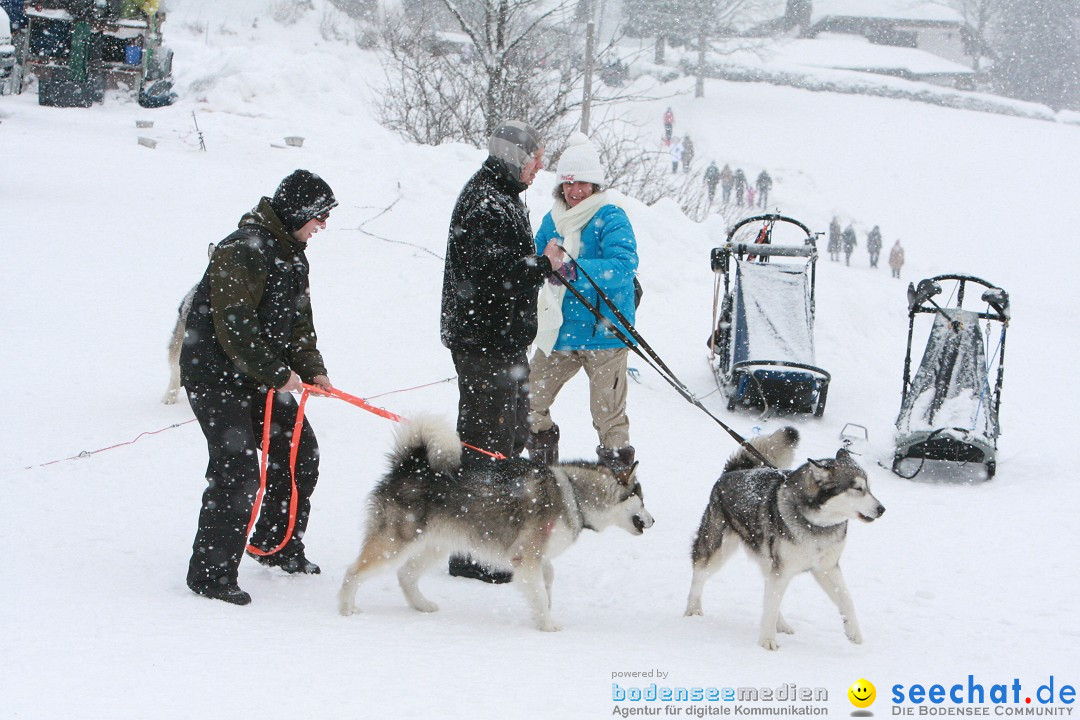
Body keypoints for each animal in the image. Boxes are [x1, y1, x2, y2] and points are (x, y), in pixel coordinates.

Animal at [336, 416, 656, 630]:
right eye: (642, 498)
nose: (654, 520)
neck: (574, 494)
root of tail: (409, 465)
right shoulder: (527, 557)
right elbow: (539, 591)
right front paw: (547, 624)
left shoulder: (535, 555)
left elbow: (547, 580)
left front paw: (546, 608)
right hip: (394, 543)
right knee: (353, 572)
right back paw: (346, 609)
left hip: (435, 544)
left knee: (405, 575)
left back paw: (422, 605)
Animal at [682, 427, 885, 651]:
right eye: (857, 489)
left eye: (869, 488)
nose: (882, 509)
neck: (817, 525)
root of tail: (731, 472)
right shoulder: (784, 569)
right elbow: (770, 606)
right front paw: (767, 640)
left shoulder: (827, 568)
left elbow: (846, 600)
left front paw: (854, 633)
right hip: (717, 548)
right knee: (699, 575)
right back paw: (693, 610)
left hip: (767, 560)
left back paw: (782, 624)